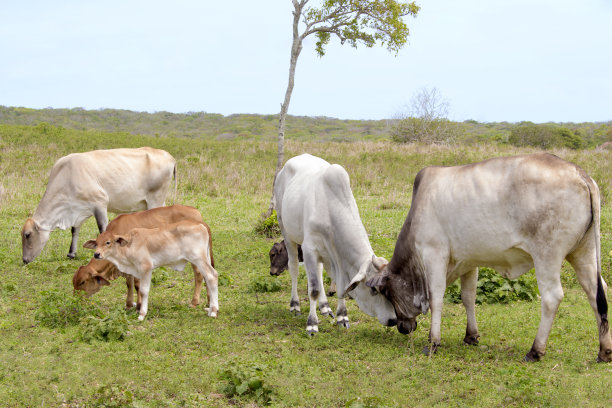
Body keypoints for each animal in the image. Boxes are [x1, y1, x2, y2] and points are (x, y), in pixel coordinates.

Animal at [21, 147, 175, 264]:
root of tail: (169, 156)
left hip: (155, 199)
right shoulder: (79, 210)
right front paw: (71, 254)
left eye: (28, 235)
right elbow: (74, 230)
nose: (24, 260)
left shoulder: (100, 204)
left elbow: (103, 229)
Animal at [71, 204, 209, 310]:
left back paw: (194, 302)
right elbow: (129, 284)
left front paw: (139, 305)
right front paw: (128, 304)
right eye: (74, 282)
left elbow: (137, 284)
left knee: (199, 274)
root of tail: (196, 212)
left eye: (82, 282)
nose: (75, 301)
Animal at [83, 220, 220, 322]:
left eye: (108, 242)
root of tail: (201, 225)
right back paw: (210, 309)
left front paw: (142, 314)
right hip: (205, 258)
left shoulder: (146, 268)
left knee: (211, 276)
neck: (128, 247)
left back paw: (213, 311)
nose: (97, 254)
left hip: (198, 259)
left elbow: (144, 291)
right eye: (96, 243)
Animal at [274, 153, 396, 334]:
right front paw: (312, 324)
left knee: (318, 271)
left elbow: (340, 287)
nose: (393, 320)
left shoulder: (336, 257)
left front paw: (342, 317)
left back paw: (325, 307)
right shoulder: (309, 249)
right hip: (286, 231)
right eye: (373, 288)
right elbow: (314, 289)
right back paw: (295, 305)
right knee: (294, 268)